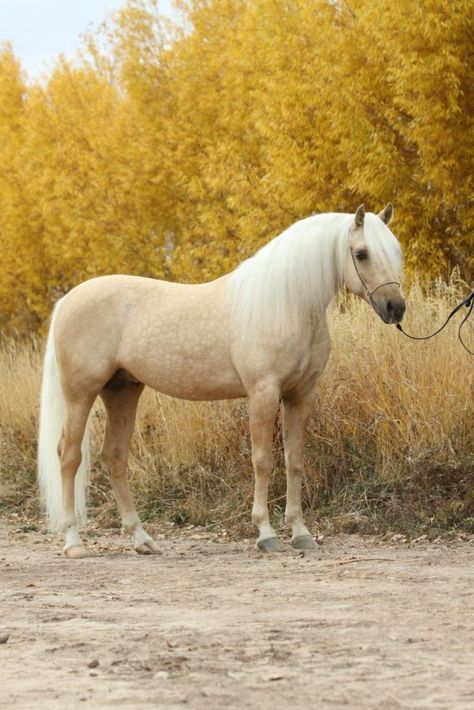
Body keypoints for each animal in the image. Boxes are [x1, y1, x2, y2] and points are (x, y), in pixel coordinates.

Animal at [39, 203, 406, 560]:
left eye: (395, 250)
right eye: (361, 253)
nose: (395, 307)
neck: (286, 303)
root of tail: (67, 300)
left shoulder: (300, 395)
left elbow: (295, 461)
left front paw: (301, 533)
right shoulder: (263, 393)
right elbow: (263, 461)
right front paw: (266, 534)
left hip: (122, 391)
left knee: (115, 457)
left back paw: (143, 540)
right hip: (81, 393)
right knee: (69, 456)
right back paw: (73, 542)